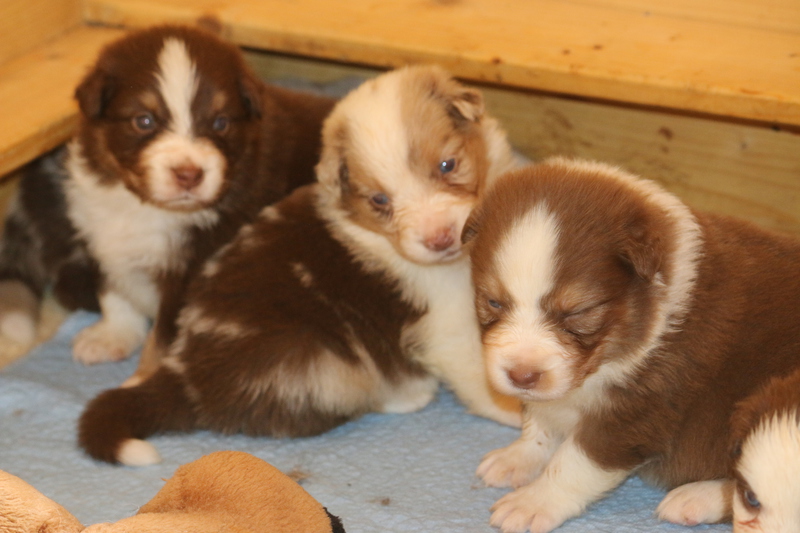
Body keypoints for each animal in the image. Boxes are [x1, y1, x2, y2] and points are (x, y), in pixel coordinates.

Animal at [0, 25, 335, 376]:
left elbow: (163, 340)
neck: (145, 207)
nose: (189, 174)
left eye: (220, 122)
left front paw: (142, 378)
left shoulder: (192, 274)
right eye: (144, 120)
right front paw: (112, 336)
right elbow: (114, 293)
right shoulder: (100, 233)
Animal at [78, 65, 522, 466]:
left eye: (448, 165)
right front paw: (515, 415)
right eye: (380, 200)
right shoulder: (449, 323)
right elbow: (478, 375)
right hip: (321, 363)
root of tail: (187, 371)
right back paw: (409, 394)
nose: (440, 239)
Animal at [461, 158, 800, 533]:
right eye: (492, 302)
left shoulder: (637, 413)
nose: (522, 376)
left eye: (579, 312)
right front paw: (517, 458)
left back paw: (695, 497)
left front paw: (533, 502)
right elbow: (540, 425)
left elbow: (574, 463)